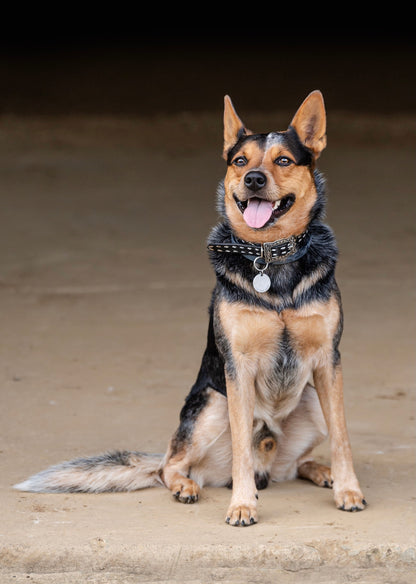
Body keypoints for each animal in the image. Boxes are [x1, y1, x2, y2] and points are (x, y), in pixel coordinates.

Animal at [15, 90, 368, 524]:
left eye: (283, 160)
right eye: (240, 161)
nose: (253, 179)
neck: (270, 257)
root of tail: (271, 465)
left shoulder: (328, 362)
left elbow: (342, 437)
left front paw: (348, 489)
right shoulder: (237, 369)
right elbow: (240, 449)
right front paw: (242, 505)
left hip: (313, 399)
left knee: (297, 463)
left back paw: (321, 472)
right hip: (211, 406)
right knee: (169, 465)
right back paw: (187, 485)